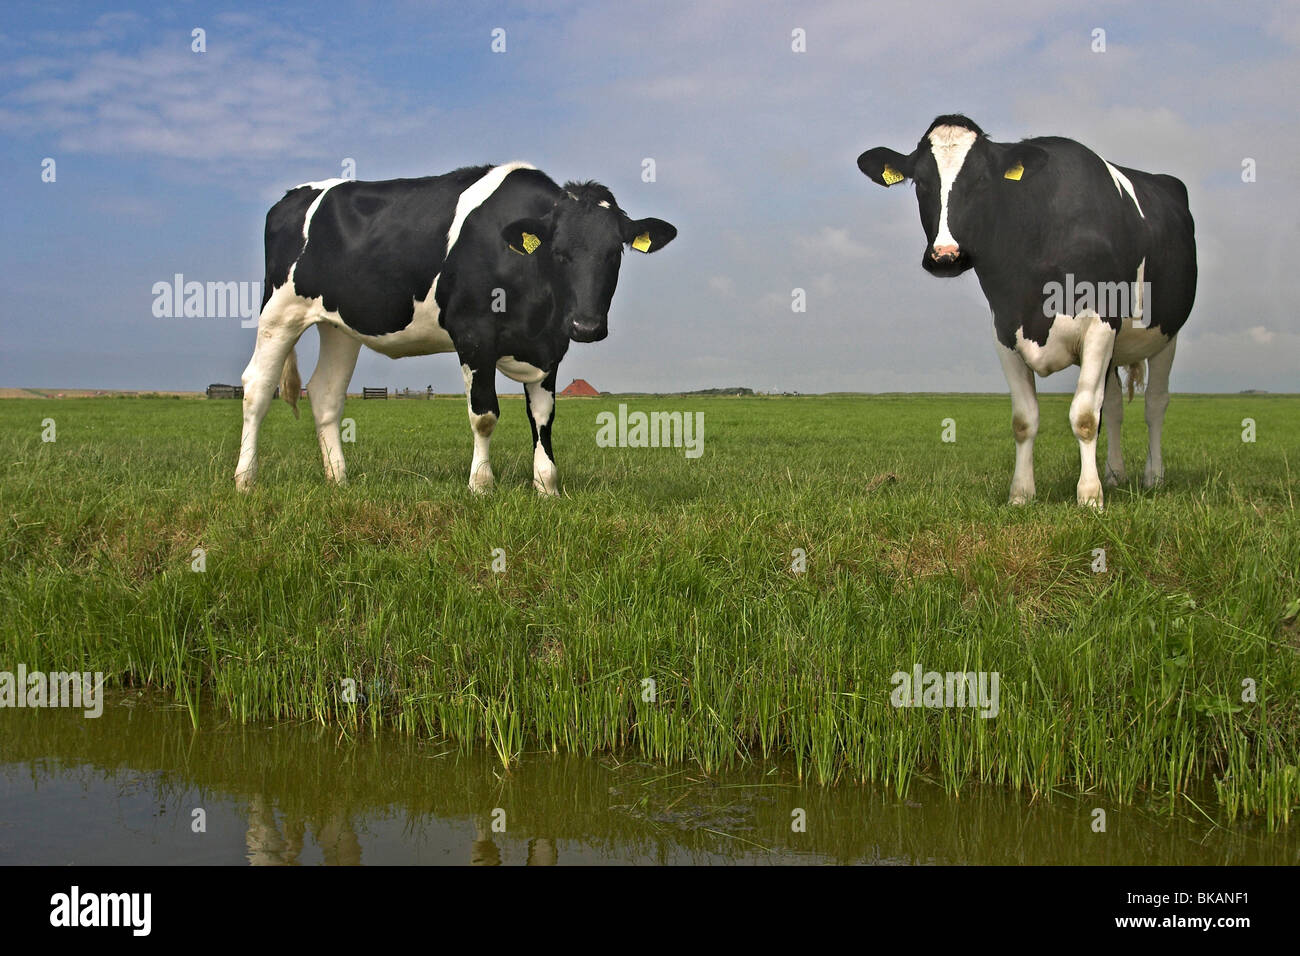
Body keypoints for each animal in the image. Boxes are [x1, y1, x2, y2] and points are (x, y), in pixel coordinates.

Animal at [234, 163, 677, 495]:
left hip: (338, 326)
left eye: (614, 253)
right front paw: (480, 485)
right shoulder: (474, 333)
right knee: (257, 387)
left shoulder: (550, 347)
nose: (585, 326)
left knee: (325, 393)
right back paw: (245, 480)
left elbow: (543, 416)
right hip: (280, 310)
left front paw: (546, 486)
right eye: (559, 253)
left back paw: (338, 479)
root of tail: (291, 196)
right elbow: (485, 415)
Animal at [857, 116, 1196, 508]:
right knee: (1112, 407)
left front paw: (1089, 497)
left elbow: (1083, 416)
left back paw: (1153, 477)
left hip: (1167, 334)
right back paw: (1114, 475)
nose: (946, 256)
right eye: (921, 182)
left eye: (982, 181)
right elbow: (1024, 420)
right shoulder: (1004, 330)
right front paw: (1021, 494)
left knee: (1155, 404)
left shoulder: (1100, 323)